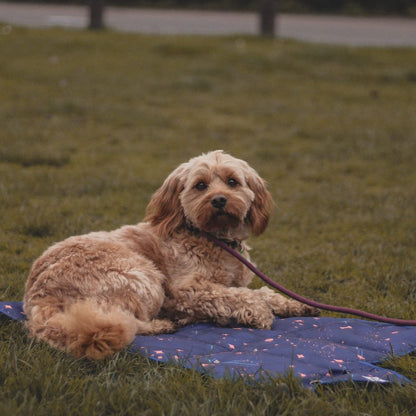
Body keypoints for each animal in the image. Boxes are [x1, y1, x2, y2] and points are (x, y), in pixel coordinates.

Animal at [23, 151, 318, 360]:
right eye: (200, 185)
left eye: (232, 182)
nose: (219, 200)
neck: (212, 238)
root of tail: (39, 297)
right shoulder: (186, 289)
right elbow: (234, 296)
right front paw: (259, 312)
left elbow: (260, 292)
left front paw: (292, 305)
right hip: (140, 274)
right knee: (124, 321)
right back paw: (167, 323)